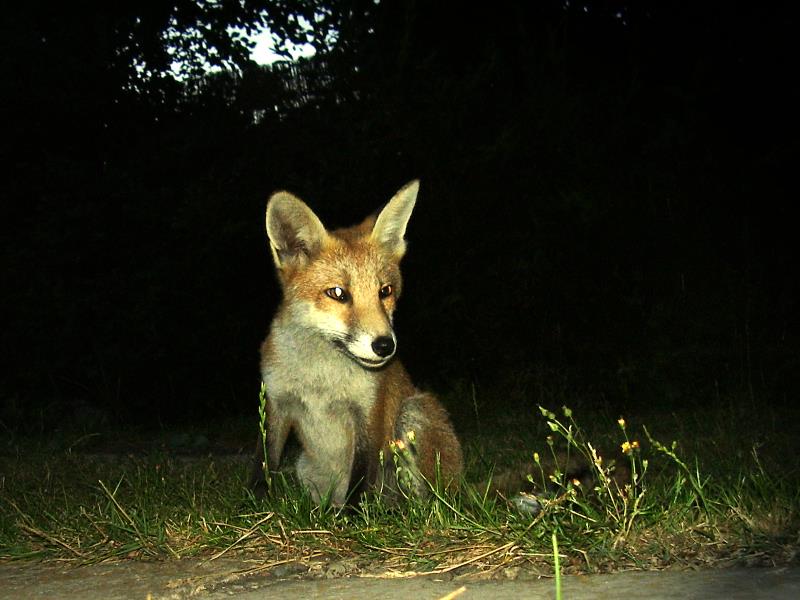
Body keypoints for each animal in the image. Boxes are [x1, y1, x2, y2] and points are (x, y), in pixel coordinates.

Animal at [250, 180, 462, 504]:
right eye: (338, 293)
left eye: (385, 291)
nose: (385, 346)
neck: (320, 378)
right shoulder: (276, 403)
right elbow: (264, 461)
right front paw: (256, 503)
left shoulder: (368, 412)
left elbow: (360, 478)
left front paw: (353, 514)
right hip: (305, 468)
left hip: (413, 412)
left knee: (430, 502)